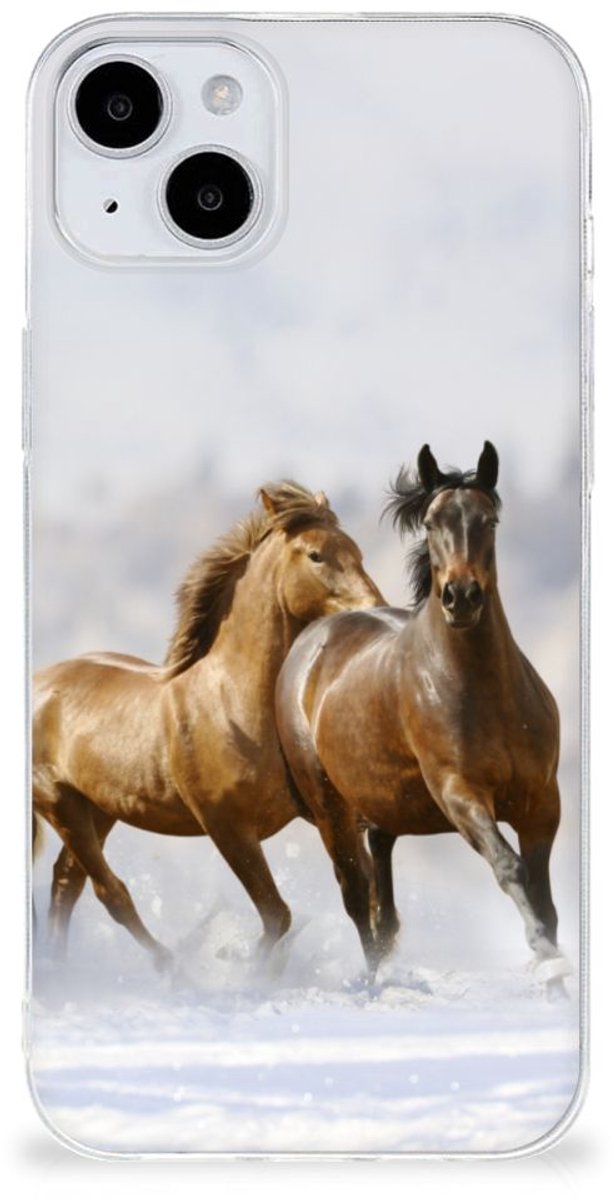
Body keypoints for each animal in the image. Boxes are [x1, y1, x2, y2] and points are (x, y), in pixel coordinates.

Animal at [32, 482, 384, 970]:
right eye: (316, 555)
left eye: (357, 551)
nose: (376, 610)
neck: (233, 705)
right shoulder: (227, 827)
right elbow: (277, 914)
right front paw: (246, 967)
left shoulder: (325, 812)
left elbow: (360, 892)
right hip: (60, 804)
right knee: (110, 892)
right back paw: (169, 966)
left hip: (98, 809)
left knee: (68, 882)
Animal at [276, 444, 569, 989]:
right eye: (432, 522)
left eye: (489, 520)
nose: (461, 597)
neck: (485, 693)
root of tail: (312, 640)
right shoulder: (460, 793)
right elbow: (509, 867)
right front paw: (544, 956)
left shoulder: (542, 803)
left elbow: (544, 898)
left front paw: (556, 978)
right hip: (330, 808)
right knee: (357, 897)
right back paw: (374, 984)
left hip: (383, 807)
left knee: (382, 900)